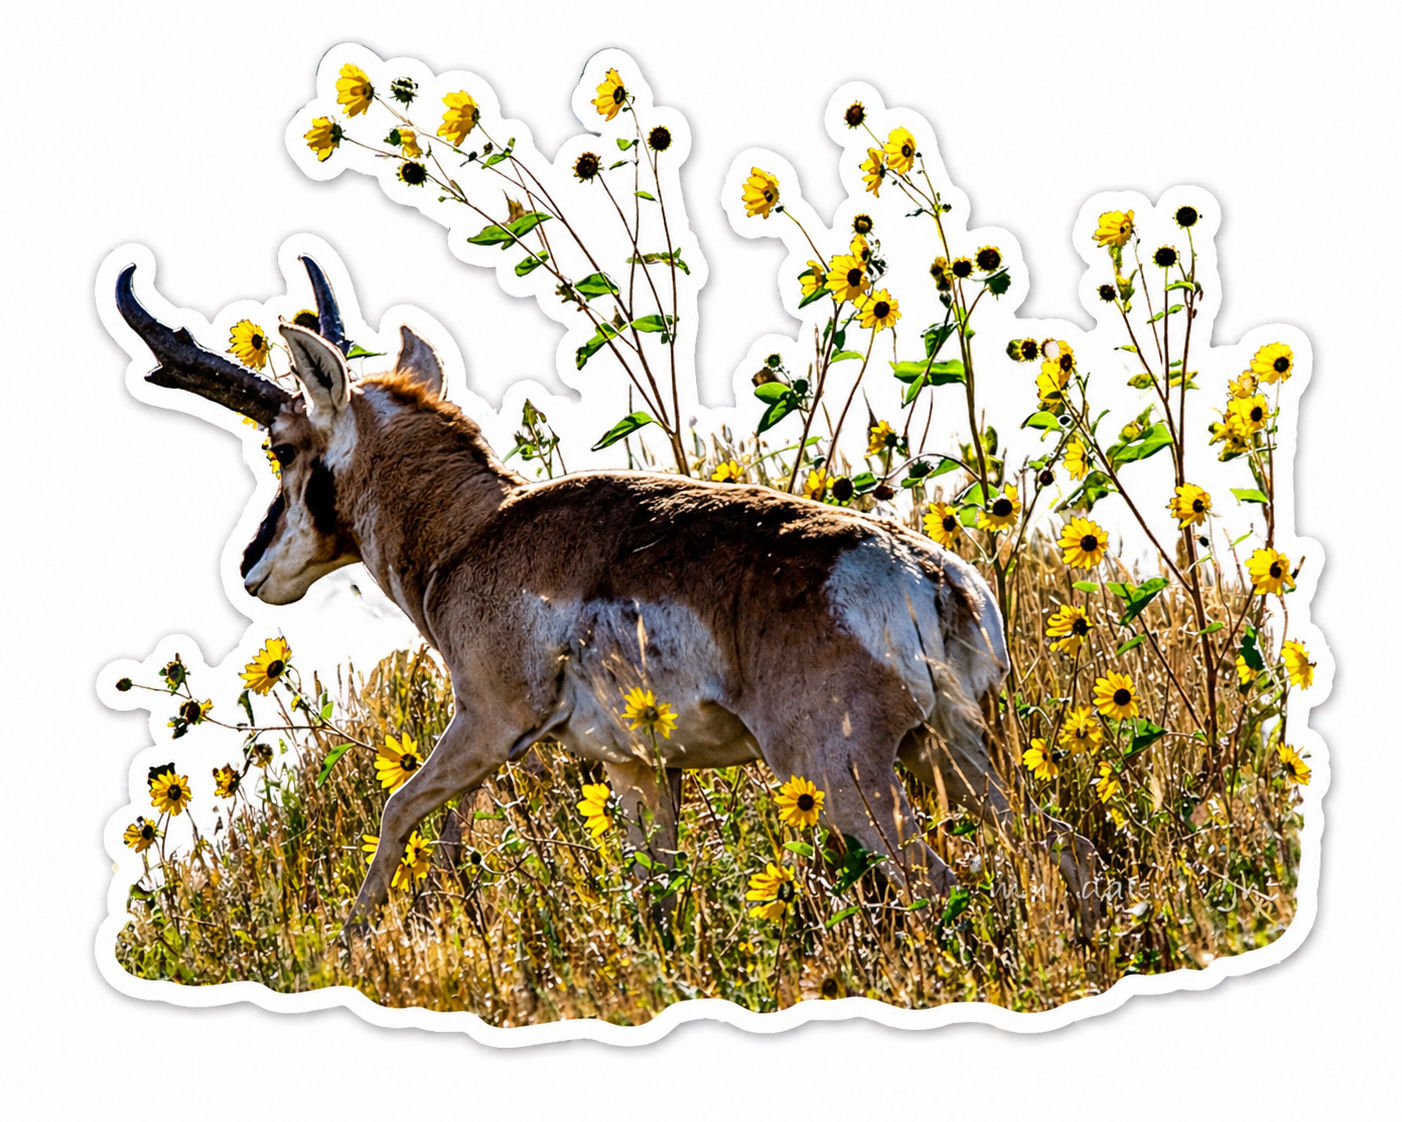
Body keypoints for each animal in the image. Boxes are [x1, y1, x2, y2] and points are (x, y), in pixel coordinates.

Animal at [114, 257, 1102, 931]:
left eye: (281, 446)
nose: (251, 567)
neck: (479, 531)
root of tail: (923, 574)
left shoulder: (488, 721)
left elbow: (400, 812)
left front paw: (354, 944)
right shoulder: (640, 772)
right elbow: (654, 888)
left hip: (847, 776)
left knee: (944, 881)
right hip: (957, 755)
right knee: (1066, 851)